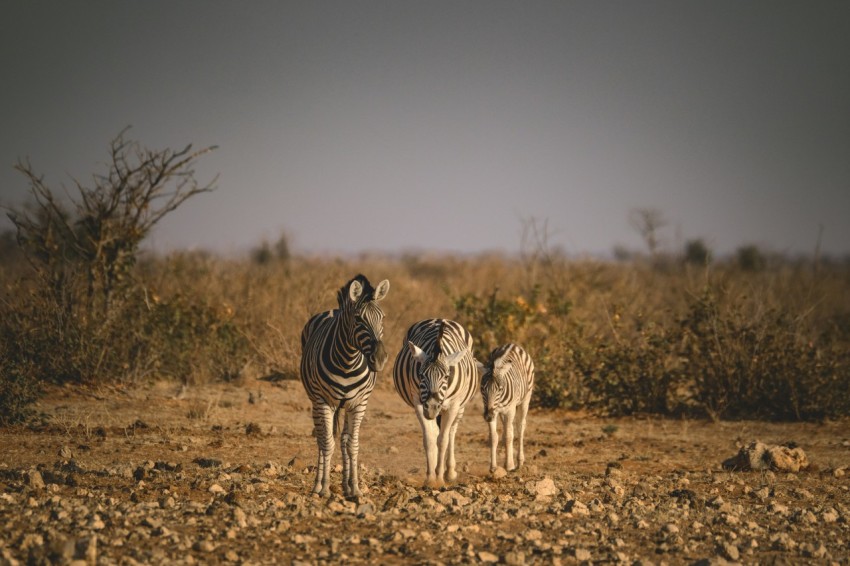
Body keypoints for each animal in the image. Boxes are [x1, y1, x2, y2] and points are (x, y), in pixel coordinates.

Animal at [300, 276, 390, 502]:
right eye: (358, 319)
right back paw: (317, 486)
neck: (348, 362)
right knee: (322, 439)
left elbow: (351, 445)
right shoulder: (324, 402)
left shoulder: (359, 404)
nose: (379, 359)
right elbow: (327, 443)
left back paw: (346, 485)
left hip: (345, 406)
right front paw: (324, 488)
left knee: (342, 439)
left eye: (382, 318)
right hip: (316, 402)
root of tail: (333, 309)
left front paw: (355, 489)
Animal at [390, 320, 476, 488]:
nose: (431, 407)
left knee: (451, 432)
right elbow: (430, 439)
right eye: (421, 375)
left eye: (447, 376)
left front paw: (440, 478)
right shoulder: (418, 402)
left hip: (460, 407)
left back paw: (449, 472)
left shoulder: (453, 405)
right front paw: (430, 478)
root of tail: (440, 319)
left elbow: (443, 441)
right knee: (436, 432)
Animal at [474, 346, 532, 474]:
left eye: (500, 389)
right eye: (482, 388)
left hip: (526, 398)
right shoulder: (493, 411)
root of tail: (513, 344)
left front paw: (510, 465)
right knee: (508, 429)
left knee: (520, 427)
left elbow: (509, 436)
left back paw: (519, 462)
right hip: (501, 413)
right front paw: (493, 467)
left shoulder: (509, 411)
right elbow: (494, 437)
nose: (488, 416)